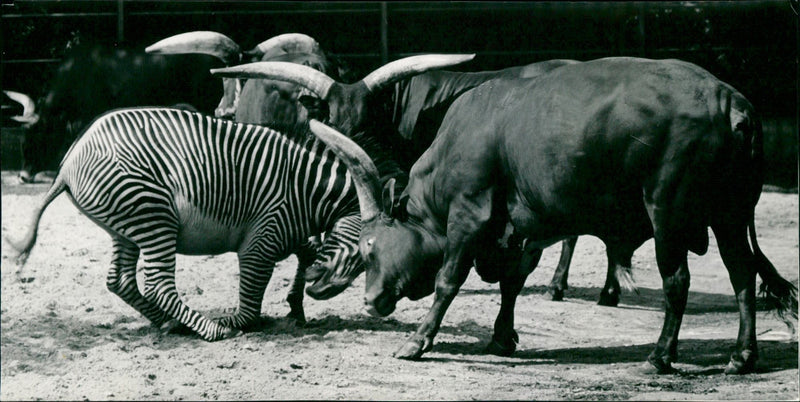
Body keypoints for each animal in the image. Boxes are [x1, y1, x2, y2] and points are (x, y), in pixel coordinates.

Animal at [8, 107, 367, 341]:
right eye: (366, 251)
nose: (321, 291)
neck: (306, 188)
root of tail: (68, 164)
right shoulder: (262, 239)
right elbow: (251, 306)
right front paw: (239, 321)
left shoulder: (289, 234)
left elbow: (307, 253)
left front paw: (296, 309)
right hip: (154, 215)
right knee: (158, 286)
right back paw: (212, 330)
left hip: (125, 226)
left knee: (120, 280)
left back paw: (172, 325)